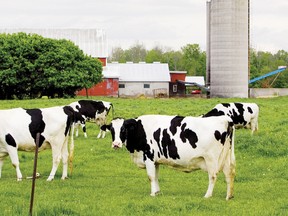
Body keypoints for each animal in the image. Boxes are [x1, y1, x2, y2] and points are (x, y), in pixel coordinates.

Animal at [102, 114, 235, 200]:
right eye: (112, 130)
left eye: (123, 129)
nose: (116, 144)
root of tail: (224, 119)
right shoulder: (155, 161)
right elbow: (156, 177)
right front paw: (157, 192)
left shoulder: (149, 156)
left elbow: (151, 176)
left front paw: (152, 194)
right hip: (226, 156)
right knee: (229, 173)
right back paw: (229, 196)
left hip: (211, 159)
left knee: (213, 176)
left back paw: (207, 195)